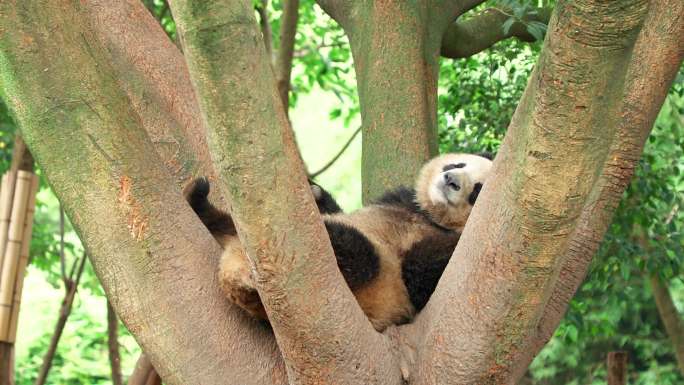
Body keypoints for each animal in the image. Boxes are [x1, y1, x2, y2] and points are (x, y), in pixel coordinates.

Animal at [187, 153, 492, 330]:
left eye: (477, 191)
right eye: (457, 164)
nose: (450, 180)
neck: (429, 216)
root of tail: (234, 277)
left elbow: (420, 272)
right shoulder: (399, 200)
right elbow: (337, 206)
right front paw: (315, 193)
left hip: (375, 288)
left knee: (357, 253)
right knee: (226, 222)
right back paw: (199, 200)